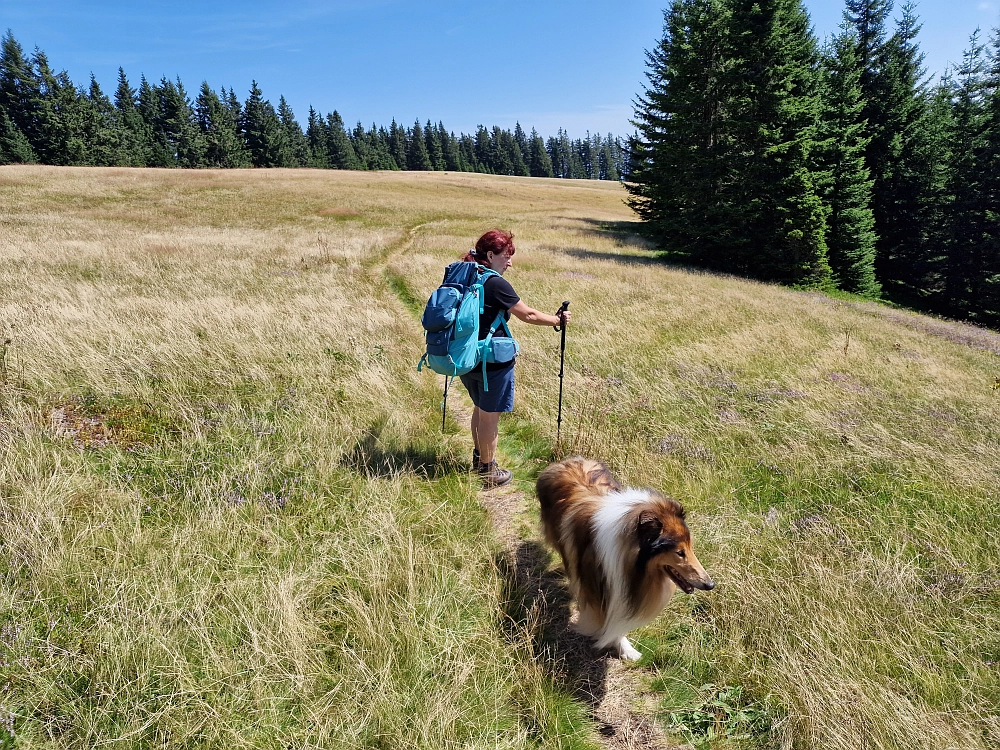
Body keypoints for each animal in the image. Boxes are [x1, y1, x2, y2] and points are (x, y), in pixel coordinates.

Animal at [536, 456, 716, 660]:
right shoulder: (601, 588)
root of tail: (568, 460)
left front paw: (625, 649)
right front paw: (622, 647)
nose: (710, 585)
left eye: (690, 547)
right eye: (679, 552)